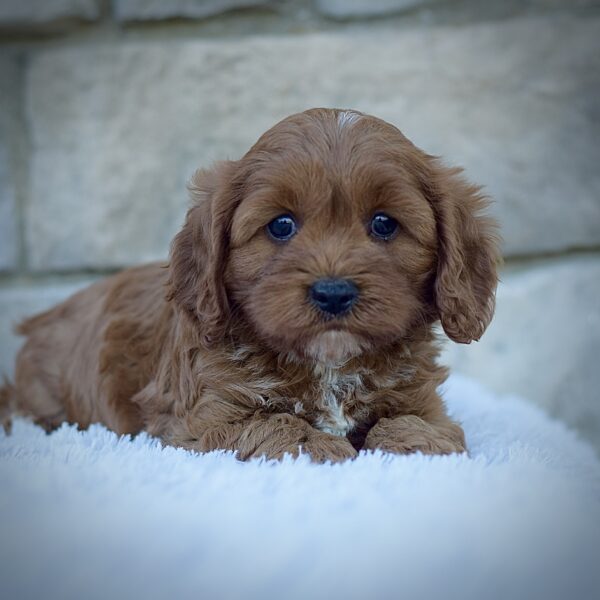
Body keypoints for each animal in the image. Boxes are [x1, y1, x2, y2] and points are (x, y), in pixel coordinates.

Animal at [1, 109, 502, 464]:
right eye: (281, 225)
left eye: (384, 224)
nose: (333, 293)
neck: (329, 366)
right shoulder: (205, 419)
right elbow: (275, 424)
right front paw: (321, 447)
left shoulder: (421, 399)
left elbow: (421, 425)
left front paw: (414, 444)